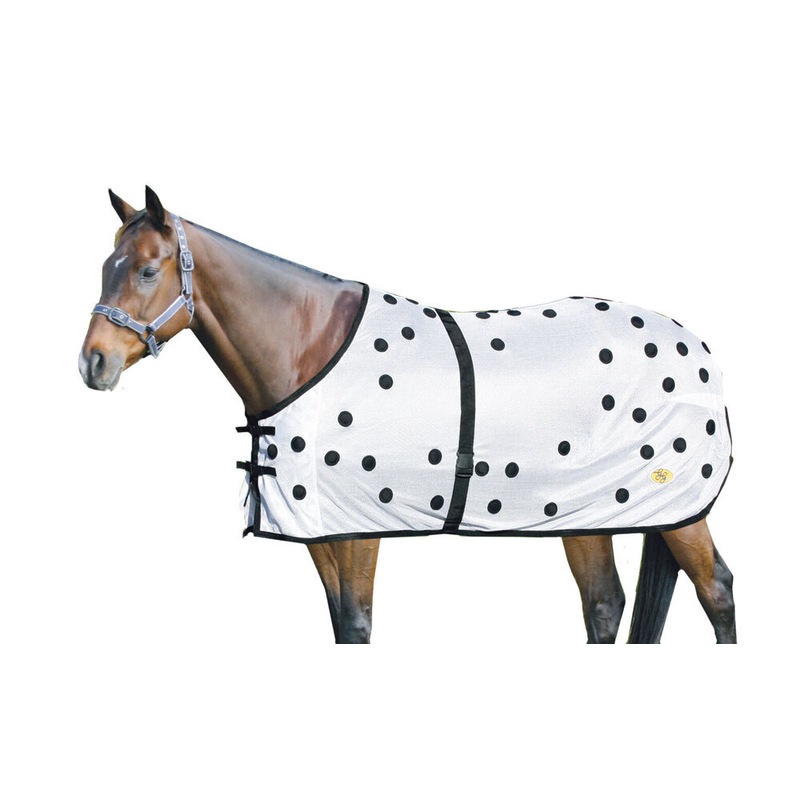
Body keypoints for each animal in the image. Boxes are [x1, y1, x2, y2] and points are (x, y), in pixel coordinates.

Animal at [79, 187, 737, 644]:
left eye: (147, 270)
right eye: (105, 267)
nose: (93, 363)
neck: (310, 346)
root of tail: (696, 344)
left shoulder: (360, 528)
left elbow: (357, 622)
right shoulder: (321, 530)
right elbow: (340, 623)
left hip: (678, 513)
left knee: (717, 592)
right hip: (583, 510)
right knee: (603, 604)